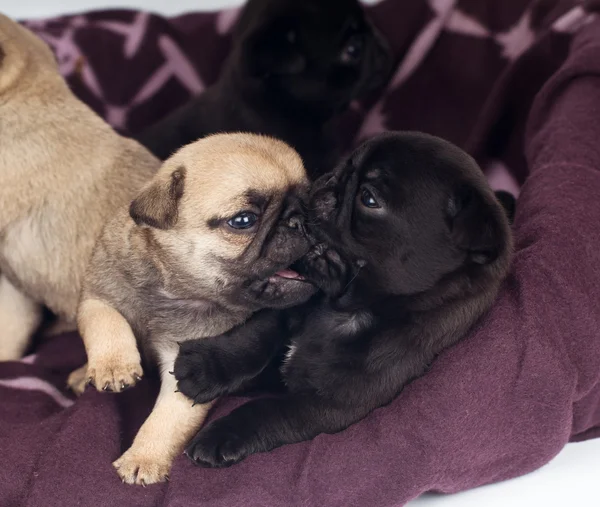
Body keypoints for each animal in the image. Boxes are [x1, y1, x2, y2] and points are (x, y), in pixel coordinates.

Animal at [68, 133, 316, 486]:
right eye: (244, 220)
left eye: (312, 201)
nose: (302, 220)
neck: (169, 285)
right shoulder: (97, 294)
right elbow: (105, 321)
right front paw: (113, 367)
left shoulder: (186, 366)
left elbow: (166, 419)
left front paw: (143, 457)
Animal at [172, 132, 510, 468]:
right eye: (344, 164)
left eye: (369, 199)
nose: (328, 180)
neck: (341, 308)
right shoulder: (292, 308)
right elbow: (258, 334)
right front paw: (207, 367)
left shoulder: (327, 405)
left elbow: (266, 410)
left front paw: (221, 435)